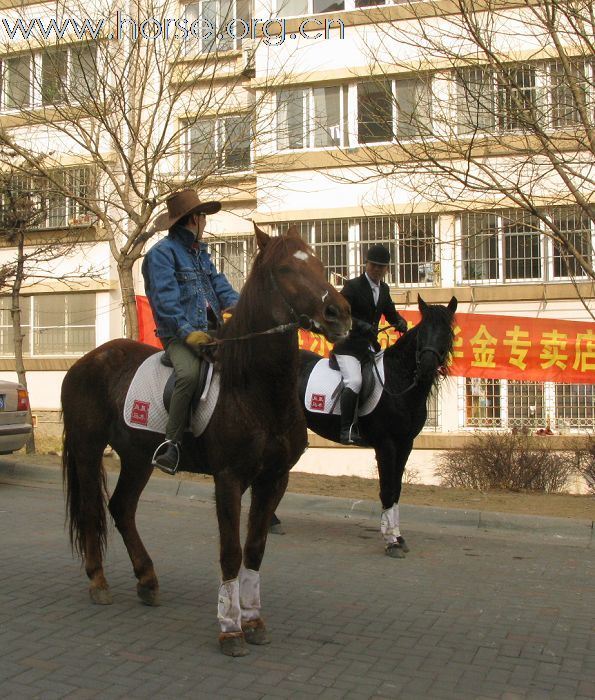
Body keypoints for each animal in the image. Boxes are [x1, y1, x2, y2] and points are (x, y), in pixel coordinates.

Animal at [61, 224, 352, 656]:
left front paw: (254, 621)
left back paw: (147, 580)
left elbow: (255, 550)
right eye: (285, 269)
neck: (254, 387)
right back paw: (98, 581)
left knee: (122, 508)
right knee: (90, 510)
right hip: (87, 449)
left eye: (318, 261)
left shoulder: (274, 479)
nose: (340, 313)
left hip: (137, 458)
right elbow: (231, 552)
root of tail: (85, 361)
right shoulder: (228, 479)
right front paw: (230, 629)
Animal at [300, 296, 458, 556]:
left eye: (447, 332)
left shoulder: (405, 444)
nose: (426, 368)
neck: (398, 383)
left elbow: (397, 489)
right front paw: (391, 541)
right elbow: (387, 489)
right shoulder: (386, 445)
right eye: (423, 331)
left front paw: (398, 537)